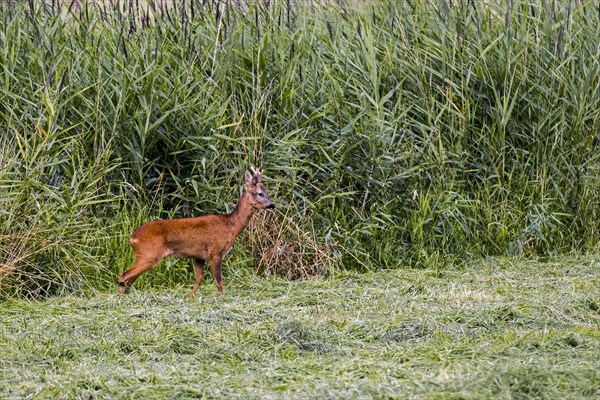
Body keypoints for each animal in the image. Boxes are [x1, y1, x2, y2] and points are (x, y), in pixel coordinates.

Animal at [119, 169, 276, 296]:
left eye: (267, 192)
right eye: (260, 193)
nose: (272, 205)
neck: (230, 226)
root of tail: (132, 238)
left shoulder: (198, 256)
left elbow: (199, 279)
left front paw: (191, 297)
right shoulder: (215, 252)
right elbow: (219, 282)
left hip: (145, 256)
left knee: (128, 280)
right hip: (149, 254)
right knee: (124, 275)